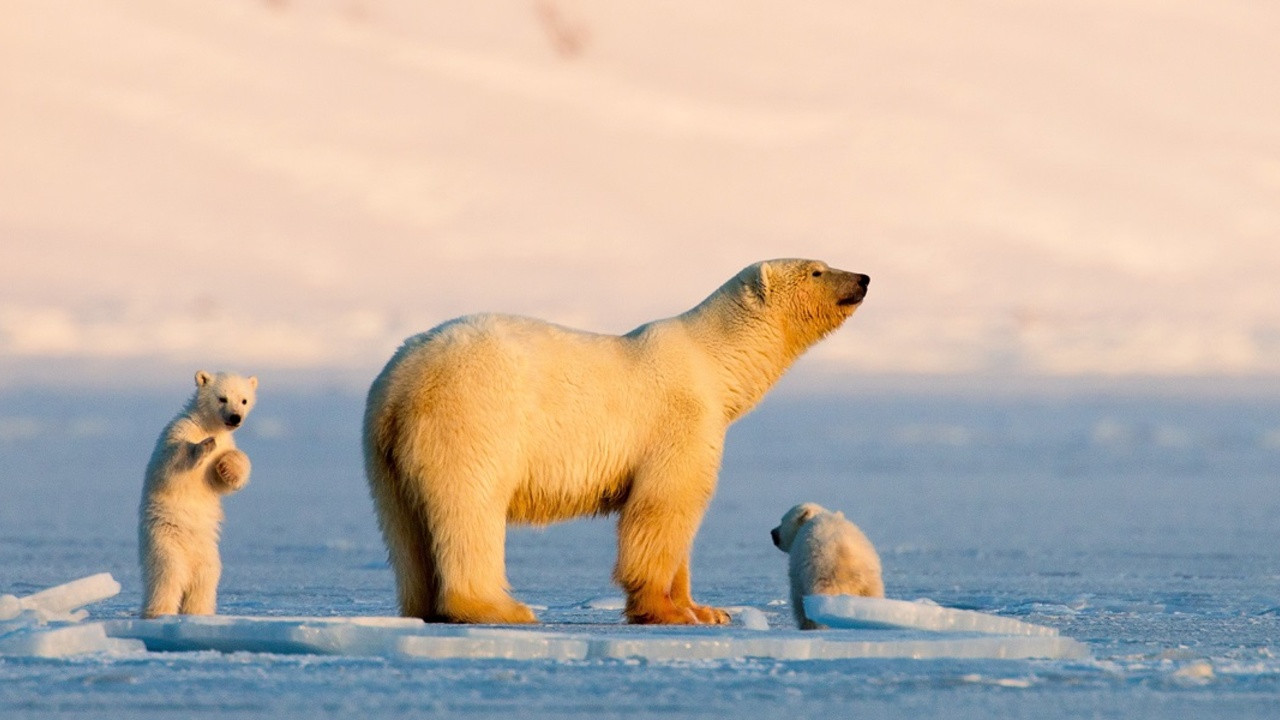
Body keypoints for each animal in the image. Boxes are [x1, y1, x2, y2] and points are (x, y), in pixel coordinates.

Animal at [366, 257, 875, 622]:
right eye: (817, 268)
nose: (864, 277)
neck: (713, 361)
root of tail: (400, 383)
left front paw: (709, 610)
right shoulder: (680, 421)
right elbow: (663, 508)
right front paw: (668, 612)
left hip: (383, 451)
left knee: (404, 529)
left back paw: (423, 607)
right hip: (472, 419)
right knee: (470, 509)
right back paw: (499, 608)